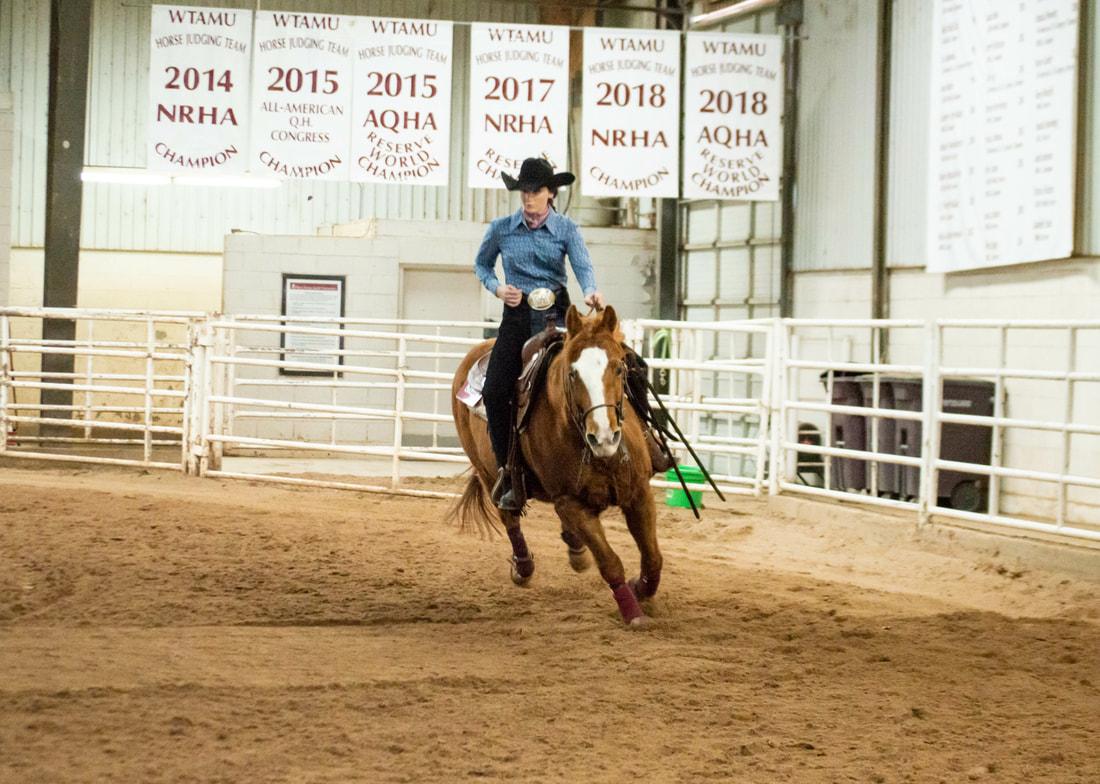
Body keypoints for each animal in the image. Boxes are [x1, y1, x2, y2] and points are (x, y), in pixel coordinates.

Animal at [448, 303, 660, 628]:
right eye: (572, 373)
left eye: (619, 367)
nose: (604, 436)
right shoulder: (570, 503)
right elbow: (610, 562)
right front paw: (632, 612)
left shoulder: (639, 493)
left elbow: (653, 559)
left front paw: (640, 588)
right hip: (487, 473)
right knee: (509, 518)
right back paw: (523, 567)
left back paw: (574, 547)